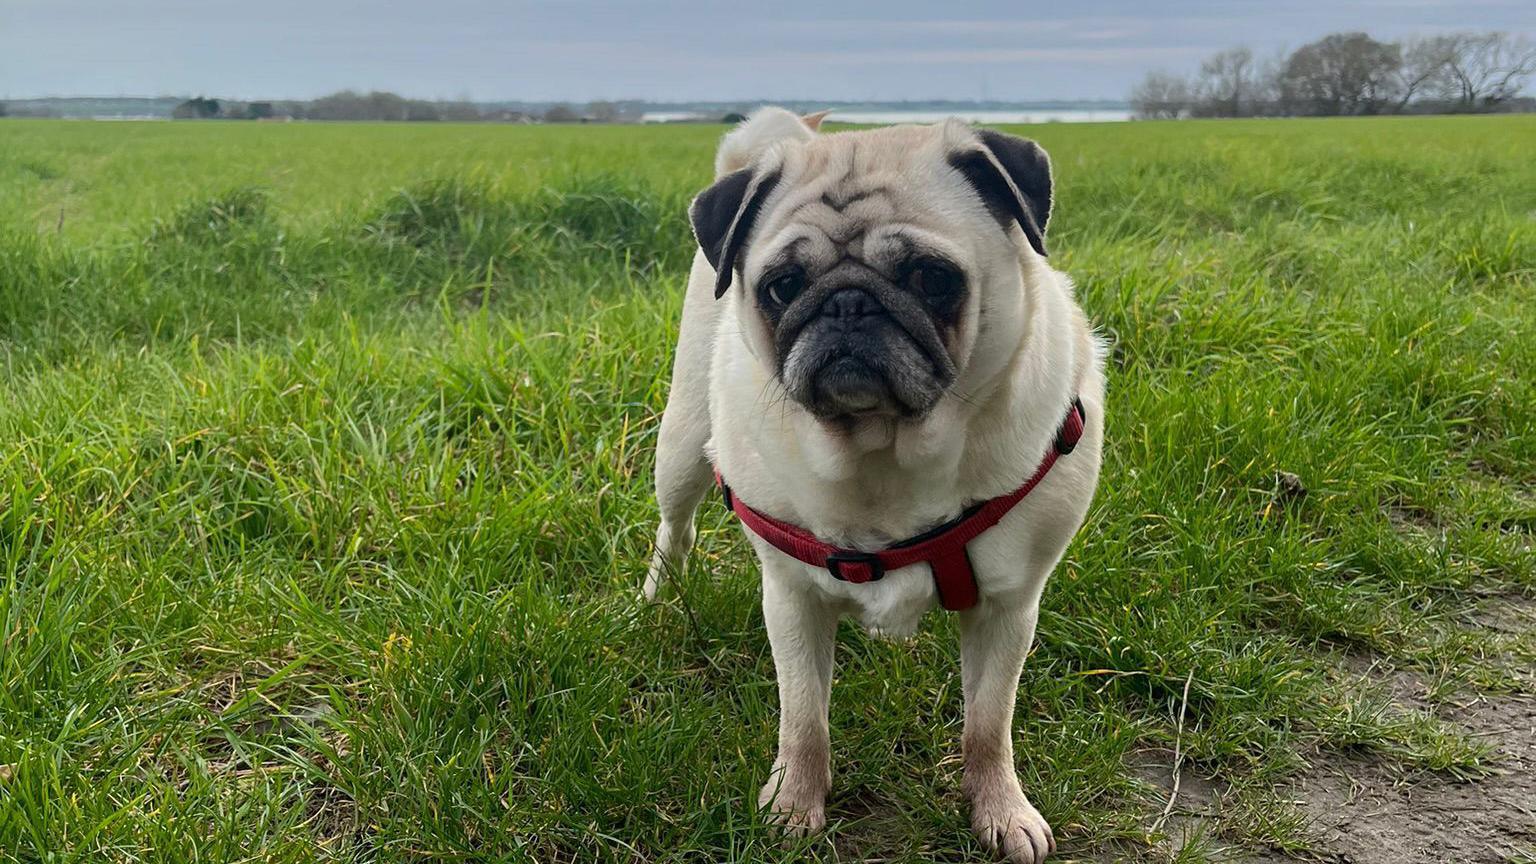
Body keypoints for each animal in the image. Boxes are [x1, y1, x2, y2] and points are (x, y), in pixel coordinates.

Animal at [648, 107, 1105, 860]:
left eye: (931, 278)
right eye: (782, 287)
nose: (847, 304)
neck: (881, 451)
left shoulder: (1008, 609)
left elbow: (988, 727)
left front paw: (999, 809)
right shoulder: (793, 599)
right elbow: (804, 720)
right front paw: (794, 806)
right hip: (682, 446)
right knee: (674, 528)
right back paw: (656, 600)